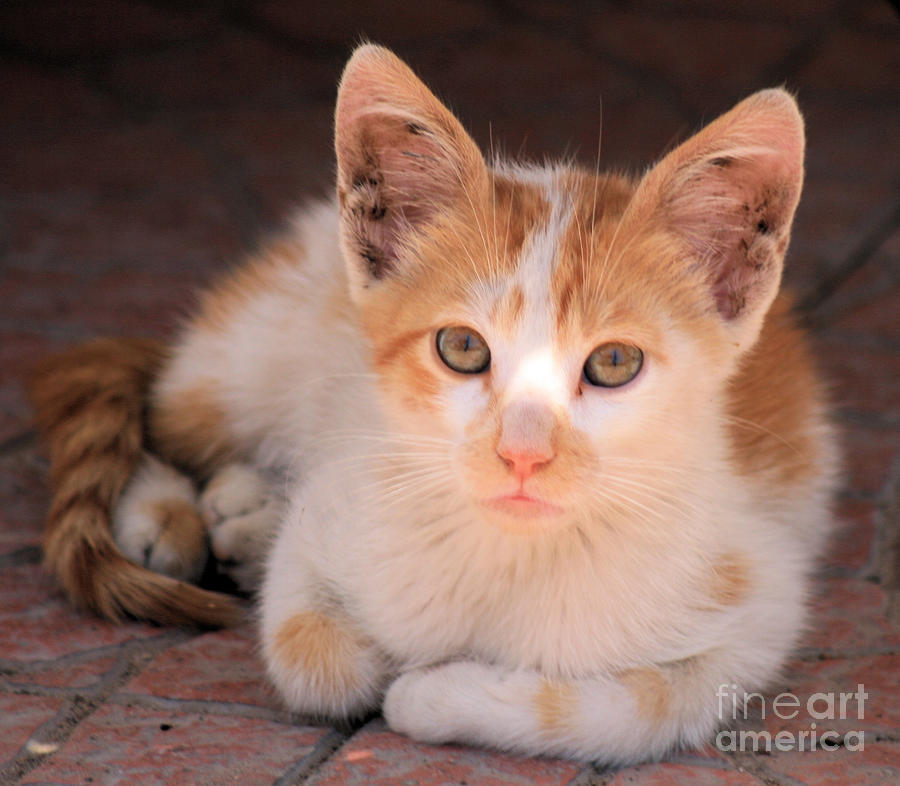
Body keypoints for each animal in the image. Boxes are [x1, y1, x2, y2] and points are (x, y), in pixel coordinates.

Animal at [29, 46, 836, 764]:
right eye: (462, 348)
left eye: (614, 363)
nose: (522, 453)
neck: (504, 556)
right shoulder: (339, 494)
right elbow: (312, 653)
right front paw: (364, 646)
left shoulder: (757, 596)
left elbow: (639, 711)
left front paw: (432, 691)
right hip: (250, 353)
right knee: (162, 414)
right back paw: (174, 512)